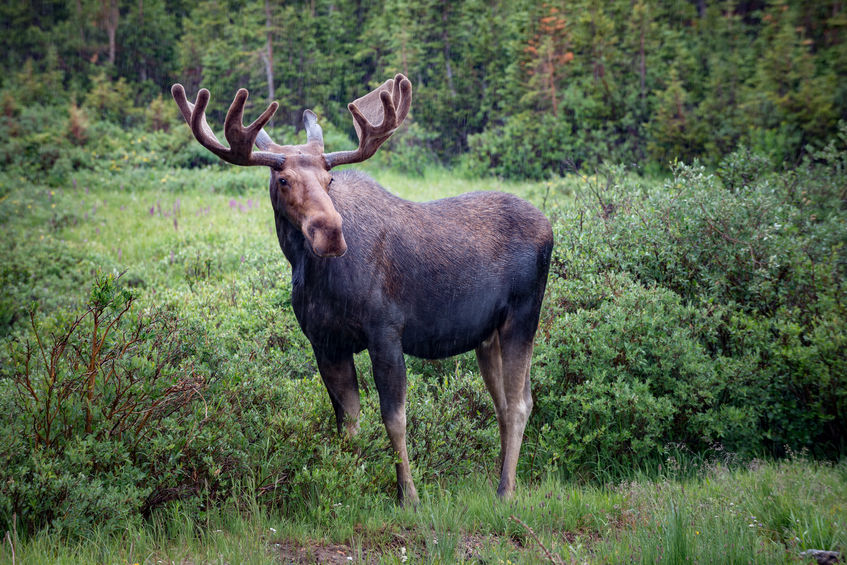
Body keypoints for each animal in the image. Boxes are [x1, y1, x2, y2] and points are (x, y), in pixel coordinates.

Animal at [171, 74, 553, 505]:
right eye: (283, 180)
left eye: (330, 179)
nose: (331, 233)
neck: (317, 276)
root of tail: (550, 229)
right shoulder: (325, 343)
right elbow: (348, 422)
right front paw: (348, 488)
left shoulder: (385, 331)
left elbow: (394, 418)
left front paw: (409, 496)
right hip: (486, 336)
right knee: (504, 403)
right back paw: (499, 480)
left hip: (523, 317)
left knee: (520, 404)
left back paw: (505, 490)